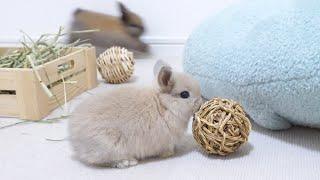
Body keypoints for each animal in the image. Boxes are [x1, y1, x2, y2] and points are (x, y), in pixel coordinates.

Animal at [69, 59, 201, 168]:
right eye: (185, 94)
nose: (200, 103)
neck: (164, 105)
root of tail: (75, 142)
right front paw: (168, 154)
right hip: (109, 147)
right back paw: (127, 162)